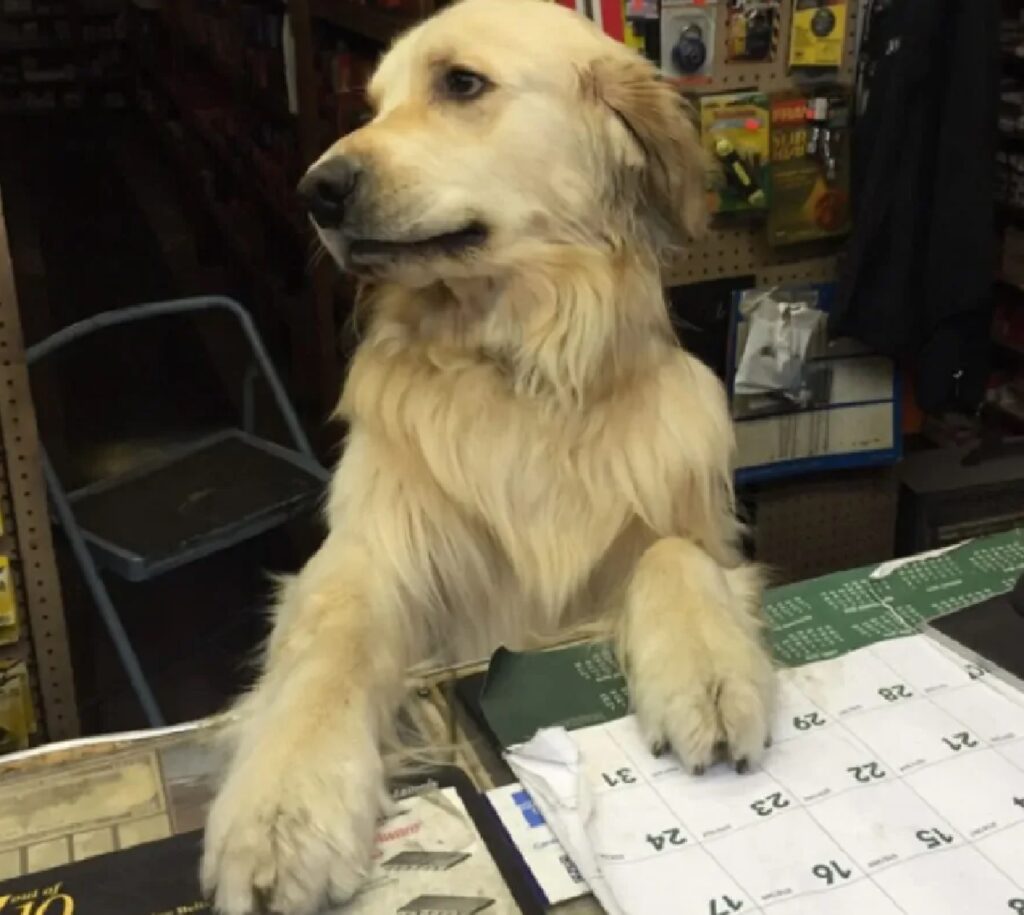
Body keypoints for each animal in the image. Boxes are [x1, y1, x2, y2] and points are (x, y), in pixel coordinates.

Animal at [203, 0, 770, 912]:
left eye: (461, 83)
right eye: (371, 103)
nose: (315, 191)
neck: (519, 367)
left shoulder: (696, 531)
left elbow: (675, 556)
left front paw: (709, 671)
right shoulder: (373, 552)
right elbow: (332, 643)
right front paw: (284, 807)